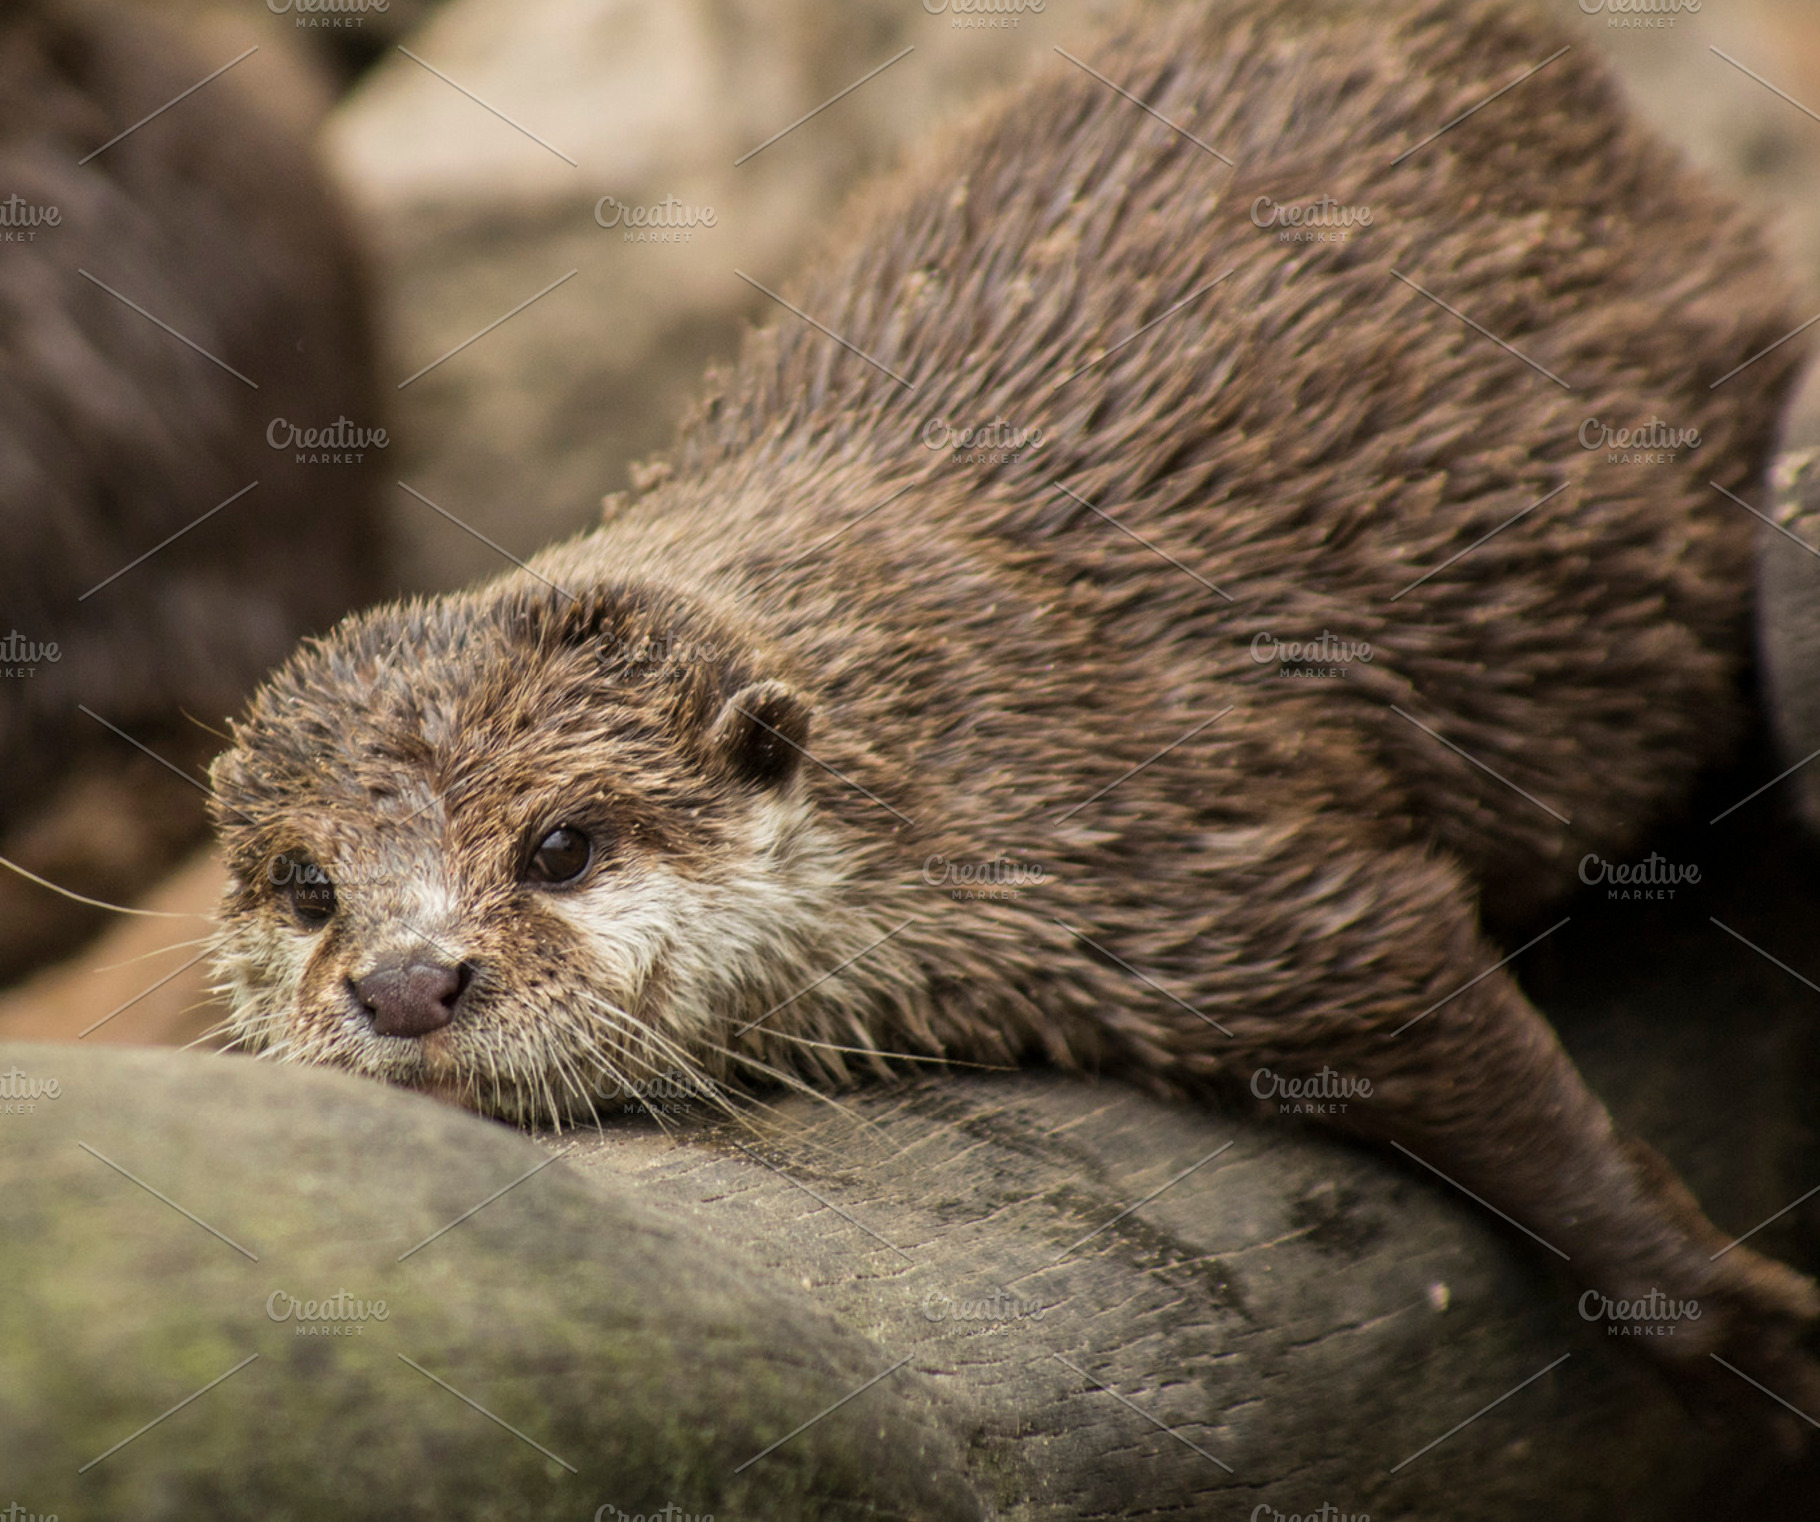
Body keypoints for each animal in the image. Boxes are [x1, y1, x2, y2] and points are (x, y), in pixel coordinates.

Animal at [210, 0, 1819, 1409]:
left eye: (560, 845)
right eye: (305, 885)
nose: (405, 982)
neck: (945, 726)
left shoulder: (1199, 854)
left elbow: (1433, 1008)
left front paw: (1710, 1310)